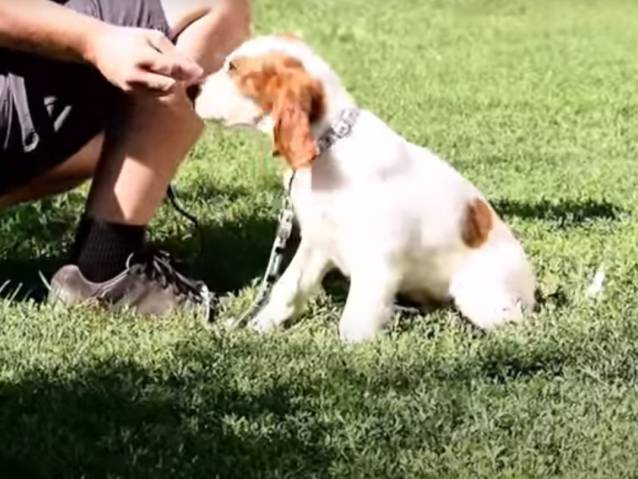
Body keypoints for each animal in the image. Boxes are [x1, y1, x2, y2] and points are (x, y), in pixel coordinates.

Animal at [194, 35, 536, 344]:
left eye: (233, 68)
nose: (190, 88)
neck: (330, 147)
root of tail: (532, 288)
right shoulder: (317, 240)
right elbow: (287, 287)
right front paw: (258, 326)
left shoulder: (378, 260)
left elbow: (354, 322)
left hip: (479, 297)